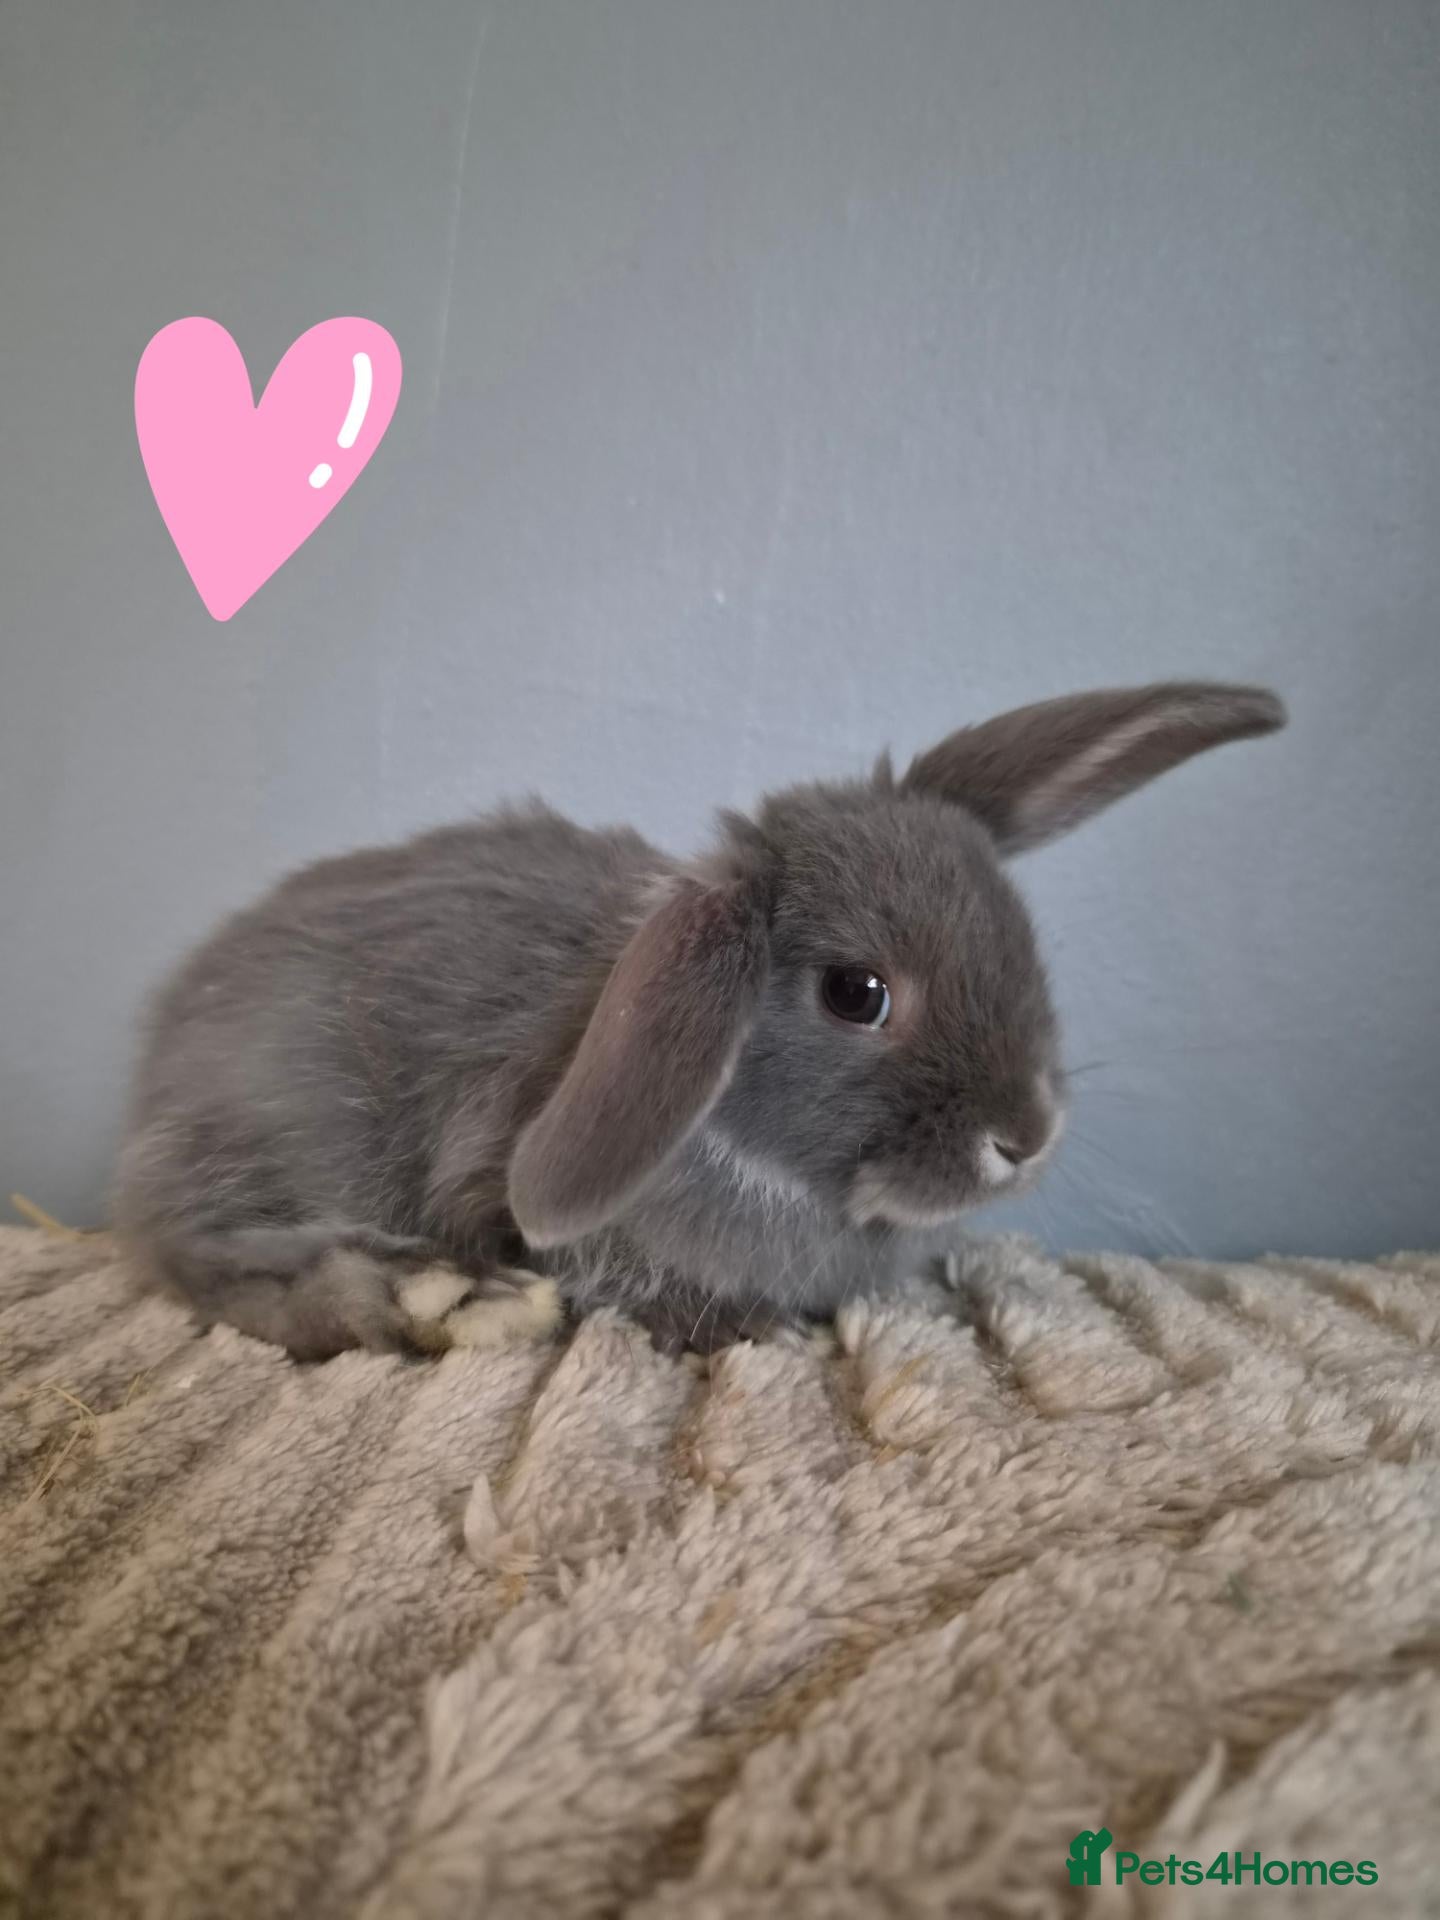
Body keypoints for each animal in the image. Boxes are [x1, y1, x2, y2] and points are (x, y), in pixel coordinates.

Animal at [113, 679, 1285, 1360]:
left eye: (1022, 937)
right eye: (858, 994)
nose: (1026, 1137)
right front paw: (754, 1330)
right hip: (279, 1130)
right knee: (202, 1256)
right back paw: (419, 1298)